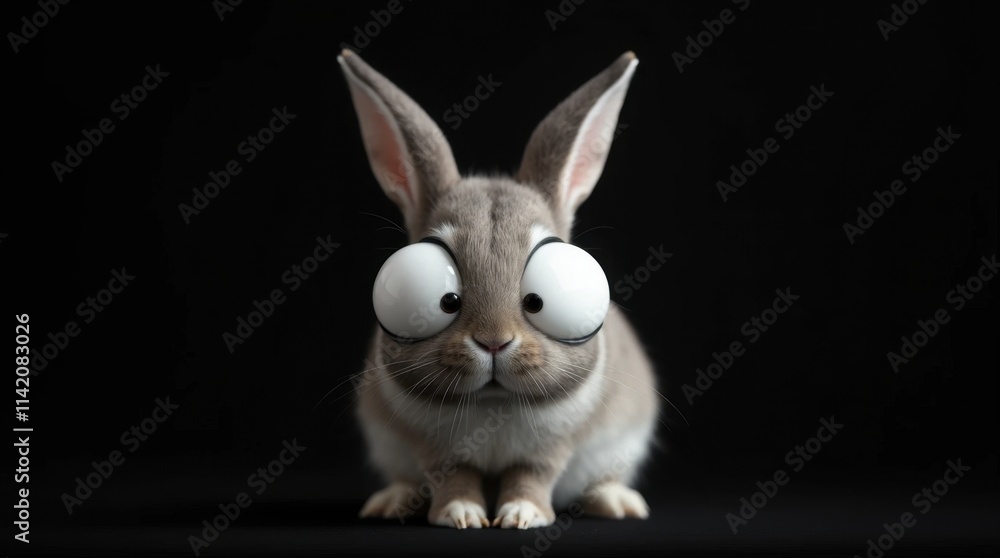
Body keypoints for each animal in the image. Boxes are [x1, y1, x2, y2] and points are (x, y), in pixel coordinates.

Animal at [338, 49, 660, 529]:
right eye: (443, 299)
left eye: (541, 299)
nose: (493, 341)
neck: (492, 402)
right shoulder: (436, 450)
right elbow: (454, 478)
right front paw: (462, 516)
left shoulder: (549, 450)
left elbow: (531, 476)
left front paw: (521, 516)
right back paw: (392, 501)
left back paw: (617, 503)